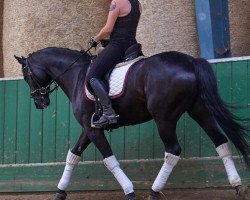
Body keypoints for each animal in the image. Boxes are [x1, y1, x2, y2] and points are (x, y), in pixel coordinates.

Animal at [14, 47, 249, 200]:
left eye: (26, 76)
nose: (40, 103)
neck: (77, 75)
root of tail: (189, 62)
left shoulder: (93, 130)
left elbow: (110, 160)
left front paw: (129, 191)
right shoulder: (89, 129)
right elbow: (73, 155)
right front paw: (60, 191)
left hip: (164, 118)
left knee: (173, 150)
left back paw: (154, 191)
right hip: (199, 111)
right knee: (220, 141)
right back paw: (237, 185)